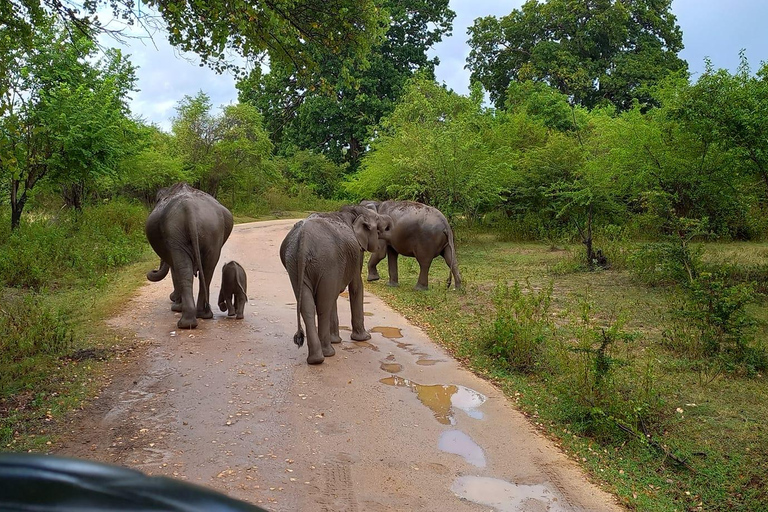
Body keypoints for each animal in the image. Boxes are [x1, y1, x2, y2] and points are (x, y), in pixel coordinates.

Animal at [146, 182, 232, 330]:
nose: (153, 271)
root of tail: (189, 207)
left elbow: (174, 269)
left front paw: (175, 304)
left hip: (176, 233)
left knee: (183, 269)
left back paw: (184, 322)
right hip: (213, 233)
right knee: (208, 270)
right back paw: (203, 315)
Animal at [280, 204, 392, 364]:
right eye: (377, 220)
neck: (354, 211)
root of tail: (304, 240)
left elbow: (334, 294)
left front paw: (336, 340)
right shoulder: (357, 252)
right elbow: (356, 286)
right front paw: (364, 338)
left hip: (294, 264)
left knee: (308, 306)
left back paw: (315, 359)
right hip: (327, 260)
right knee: (323, 305)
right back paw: (328, 353)